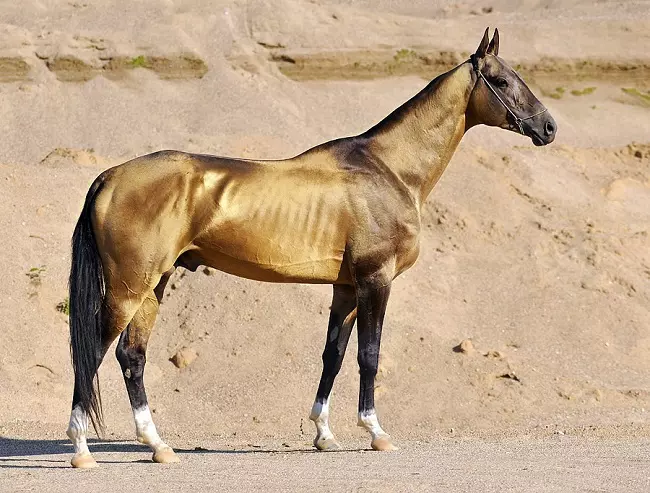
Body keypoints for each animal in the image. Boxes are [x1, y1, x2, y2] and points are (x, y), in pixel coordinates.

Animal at [64, 28, 552, 468]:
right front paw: (376, 433)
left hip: (154, 285)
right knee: (93, 352)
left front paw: (323, 434)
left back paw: (158, 446)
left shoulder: (347, 288)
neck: (389, 169)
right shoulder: (376, 280)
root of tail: (110, 176)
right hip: (129, 288)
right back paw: (82, 450)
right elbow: (369, 355)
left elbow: (332, 356)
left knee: (132, 355)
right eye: (502, 81)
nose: (548, 127)